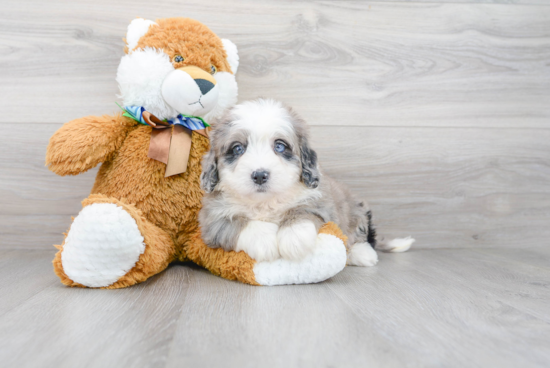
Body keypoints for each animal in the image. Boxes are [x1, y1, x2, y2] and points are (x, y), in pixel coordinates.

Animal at [198, 98, 414, 264]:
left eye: (279, 146)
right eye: (237, 149)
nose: (260, 175)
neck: (265, 202)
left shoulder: (320, 204)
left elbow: (302, 211)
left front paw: (293, 239)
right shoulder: (211, 220)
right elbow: (238, 223)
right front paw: (265, 241)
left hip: (356, 210)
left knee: (362, 236)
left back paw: (362, 254)